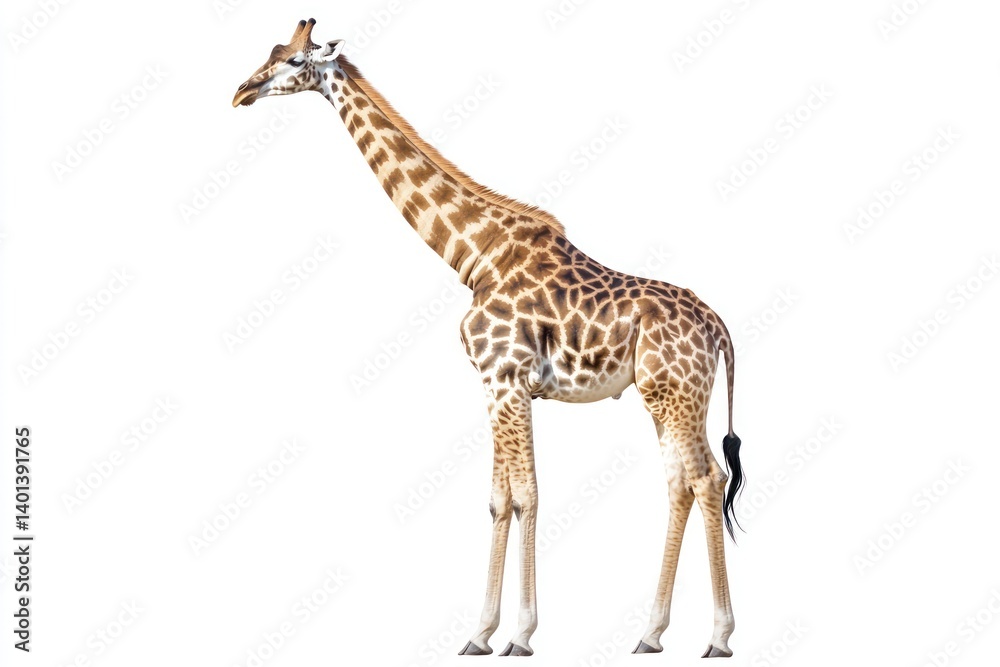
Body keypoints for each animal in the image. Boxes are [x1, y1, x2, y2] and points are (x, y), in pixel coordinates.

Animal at [234, 19, 746, 659]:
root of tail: (717, 324)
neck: (473, 254)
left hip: (675, 393)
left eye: (294, 60)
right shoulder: (494, 383)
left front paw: (520, 634)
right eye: (272, 51)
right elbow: (500, 499)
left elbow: (526, 495)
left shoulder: (506, 379)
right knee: (682, 481)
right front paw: (479, 633)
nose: (242, 92)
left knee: (707, 478)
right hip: (670, 397)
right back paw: (650, 633)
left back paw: (719, 637)